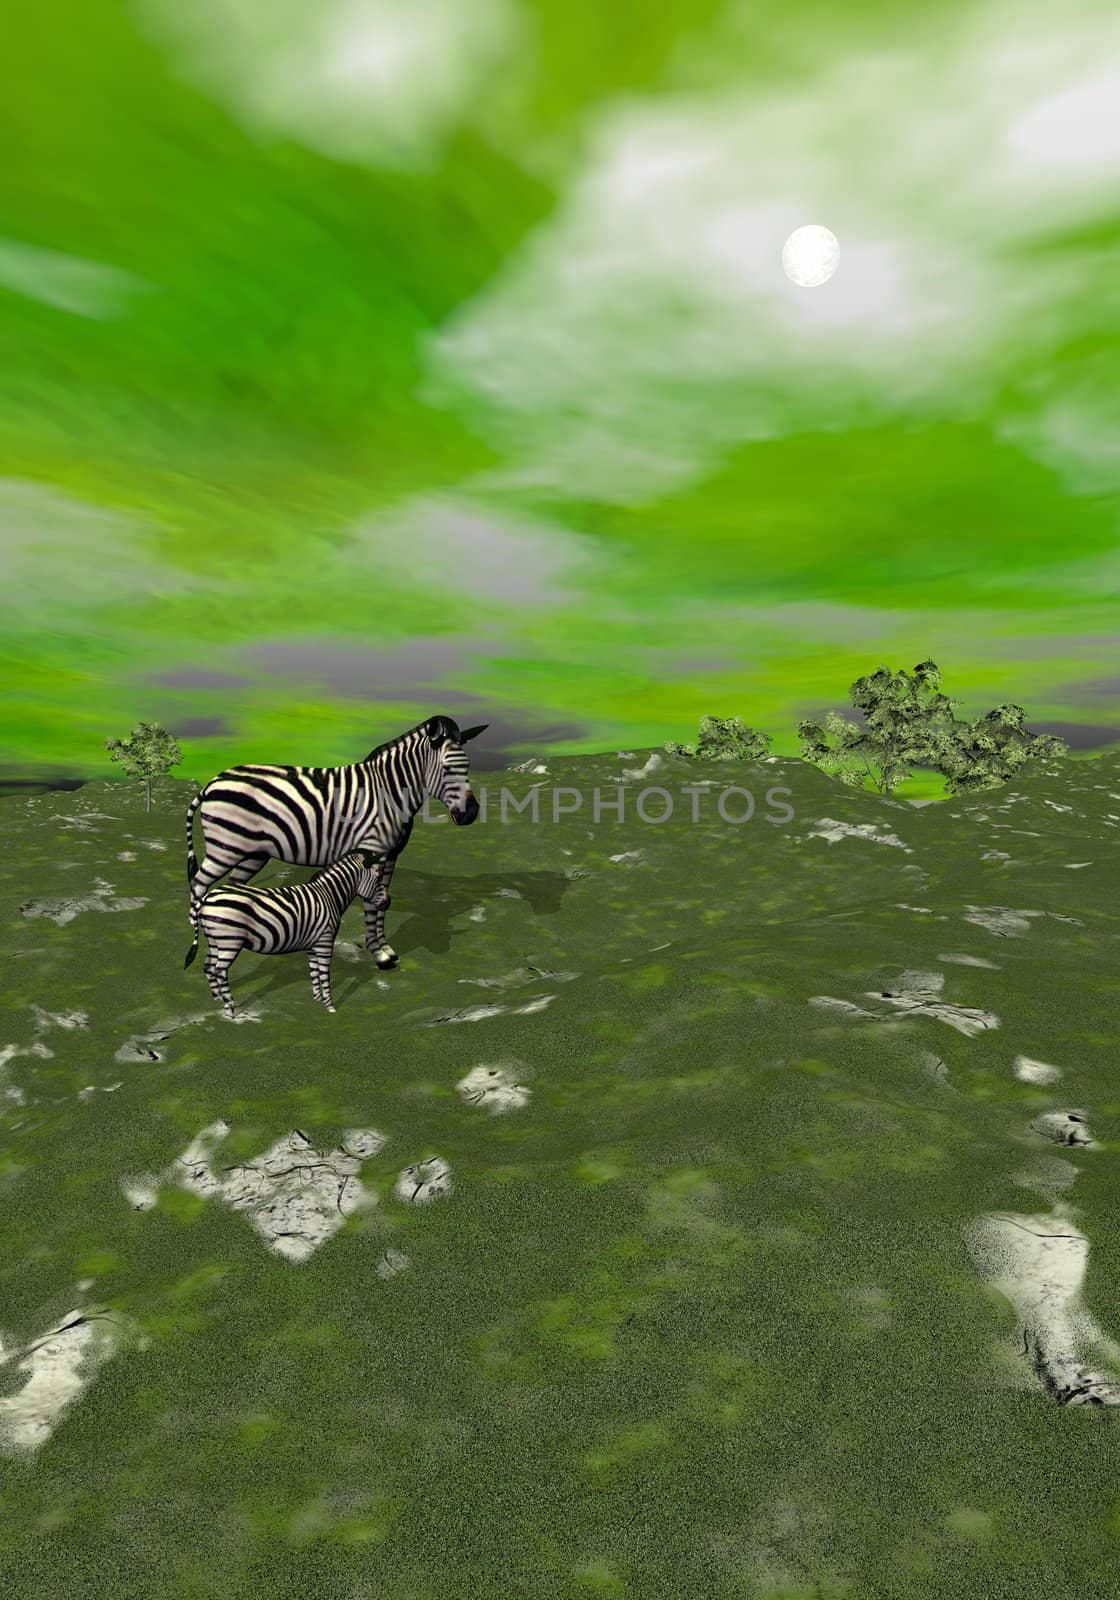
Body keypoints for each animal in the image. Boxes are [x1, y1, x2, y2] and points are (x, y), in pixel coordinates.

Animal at [180, 844, 380, 1017]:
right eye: (378, 878)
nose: (385, 903)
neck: (329, 896)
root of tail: (207, 899)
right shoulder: (325, 940)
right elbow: (324, 973)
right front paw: (330, 1006)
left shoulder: (313, 943)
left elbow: (313, 970)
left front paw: (316, 999)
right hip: (230, 942)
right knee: (219, 971)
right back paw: (230, 1007)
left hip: (215, 940)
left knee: (208, 966)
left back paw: (217, 999)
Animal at [187, 716, 486, 966]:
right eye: (447, 768)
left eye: (468, 768)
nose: (471, 814)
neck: (389, 793)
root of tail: (212, 782)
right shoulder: (373, 851)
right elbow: (372, 903)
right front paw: (379, 954)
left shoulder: (391, 855)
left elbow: (382, 902)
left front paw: (384, 948)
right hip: (224, 849)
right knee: (198, 885)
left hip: (253, 853)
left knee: (233, 885)